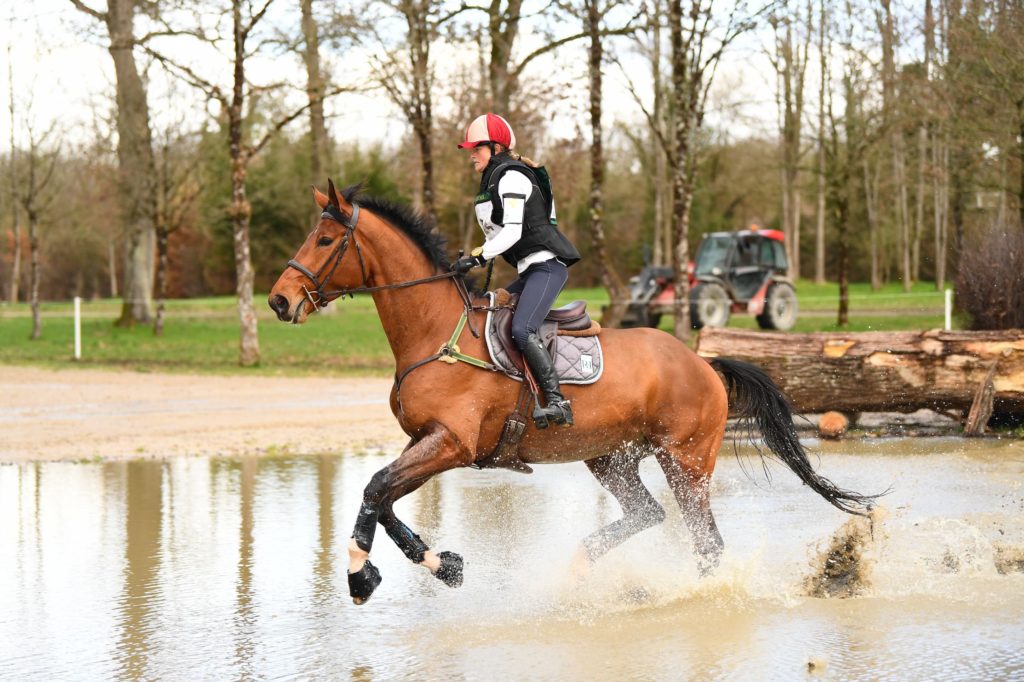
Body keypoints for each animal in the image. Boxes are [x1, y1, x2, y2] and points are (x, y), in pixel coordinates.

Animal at [268, 178, 876, 602]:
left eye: (325, 240)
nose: (278, 300)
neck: (434, 332)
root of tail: (702, 364)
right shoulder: (426, 441)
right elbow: (384, 498)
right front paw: (444, 565)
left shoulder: (452, 444)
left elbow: (376, 489)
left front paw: (359, 577)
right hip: (610, 456)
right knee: (647, 515)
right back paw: (580, 567)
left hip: (686, 461)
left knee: (706, 541)